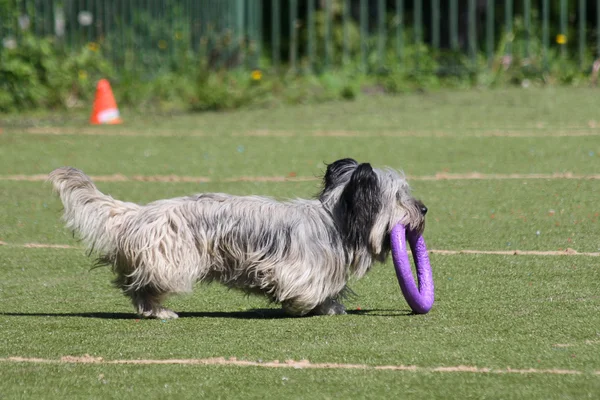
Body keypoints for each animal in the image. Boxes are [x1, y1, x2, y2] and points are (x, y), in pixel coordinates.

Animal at [48, 159, 426, 318]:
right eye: (400, 197)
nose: (424, 208)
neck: (334, 220)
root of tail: (136, 213)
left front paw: (330, 307)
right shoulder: (296, 269)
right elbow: (302, 290)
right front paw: (304, 306)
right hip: (172, 262)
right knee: (141, 287)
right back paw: (160, 311)